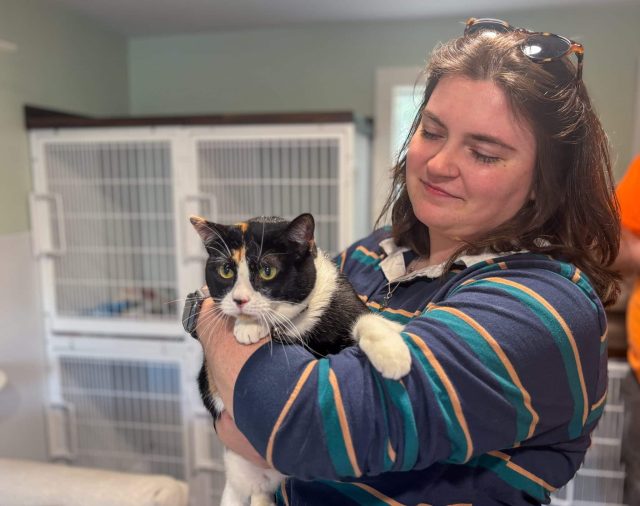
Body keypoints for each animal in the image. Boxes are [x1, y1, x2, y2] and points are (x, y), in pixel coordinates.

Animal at [190, 213, 411, 506]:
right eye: (226, 270)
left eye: (267, 271)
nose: (240, 300)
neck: (296, 327)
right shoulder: (208, 382)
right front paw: (249, 326)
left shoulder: (342, 303)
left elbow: (366, 319)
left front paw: (392, 350)